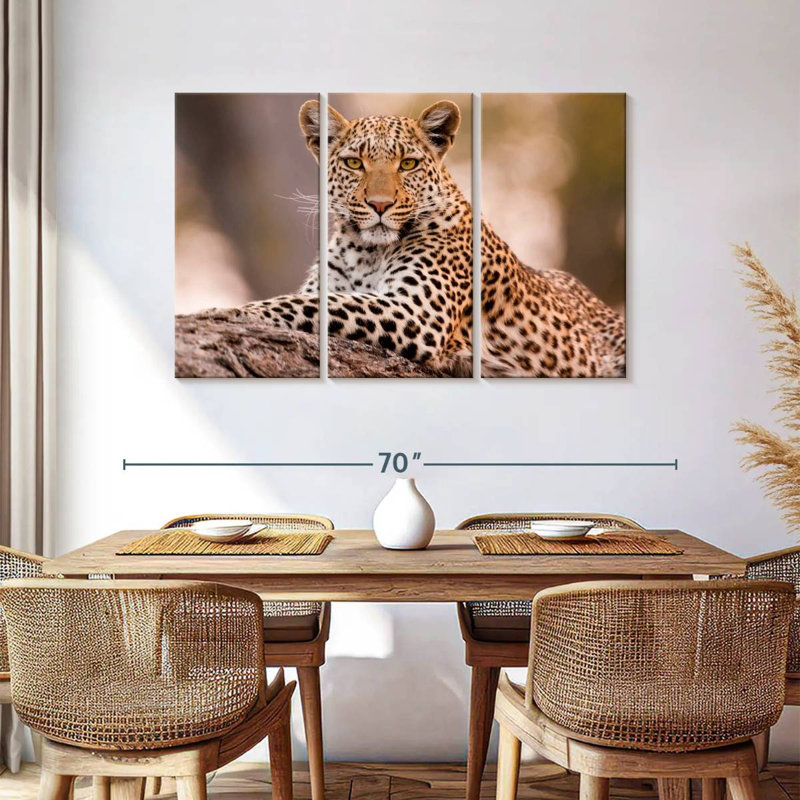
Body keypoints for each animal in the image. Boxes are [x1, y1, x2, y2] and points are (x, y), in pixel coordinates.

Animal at [226, 98, 625, 377]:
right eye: (354, 163)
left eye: (408, 164)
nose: (380, 204)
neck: (365, 251)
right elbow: (313, 299)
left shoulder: (418, 311)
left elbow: (309, 304)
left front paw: (230, 311)